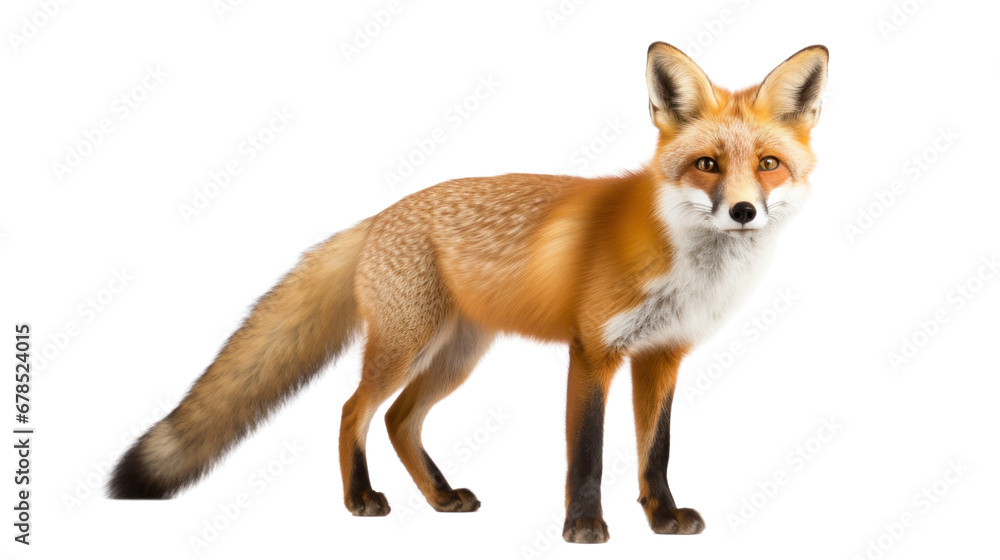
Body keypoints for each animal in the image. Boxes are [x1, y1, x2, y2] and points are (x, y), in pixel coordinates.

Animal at [109, 42, 828, 543]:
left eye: (768, 165)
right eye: (707, 164)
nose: (743, 211)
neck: (685, 261)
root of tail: (377, 218)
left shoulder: (661, 356)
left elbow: (656, 451)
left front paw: (662, 518)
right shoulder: (592, 352)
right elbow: (588, 453)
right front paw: (583, 529)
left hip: (456, 356)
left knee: (399, 420)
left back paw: (440, 497)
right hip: (405, 347)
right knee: (352, 411)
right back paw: (361, 501)